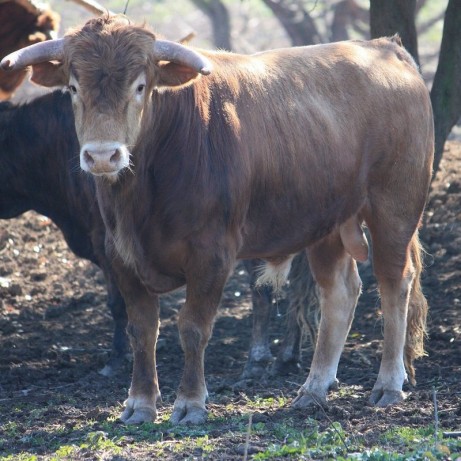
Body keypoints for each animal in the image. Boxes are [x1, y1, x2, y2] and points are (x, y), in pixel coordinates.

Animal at [0, 15, 432, 424]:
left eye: (140, 86)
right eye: (73, 88)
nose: (103, 155)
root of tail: (387, 48)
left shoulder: (211, 254)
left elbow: (193, 327)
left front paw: (190, 403)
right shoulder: (120, 254)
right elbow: (142, 328)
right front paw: (139, 403)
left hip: (394, 207)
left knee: (395, 283)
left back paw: (388, 384)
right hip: (328, 222)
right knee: (339, 292)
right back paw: (313, 389)